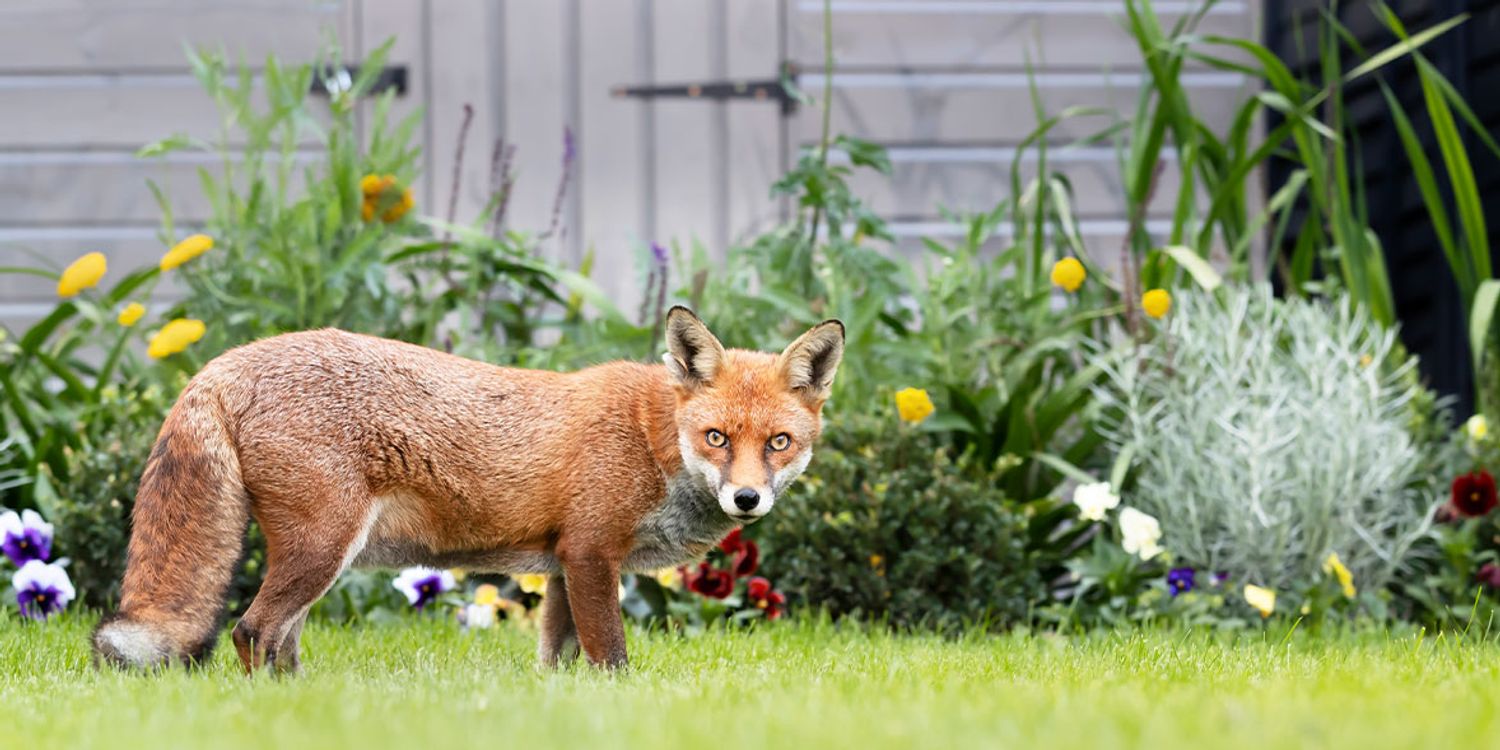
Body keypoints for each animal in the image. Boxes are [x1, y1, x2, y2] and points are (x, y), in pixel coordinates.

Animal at [91, 307, 843, 673]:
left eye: (778, 444)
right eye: (717, 437)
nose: (747, 500)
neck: (651, 439)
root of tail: (220, 365)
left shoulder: (563, 565)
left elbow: (559, 660)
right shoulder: (592, 555)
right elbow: (613, 657)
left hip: (314, 561)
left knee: (279, 641)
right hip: (322, 549)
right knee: (250, 632)